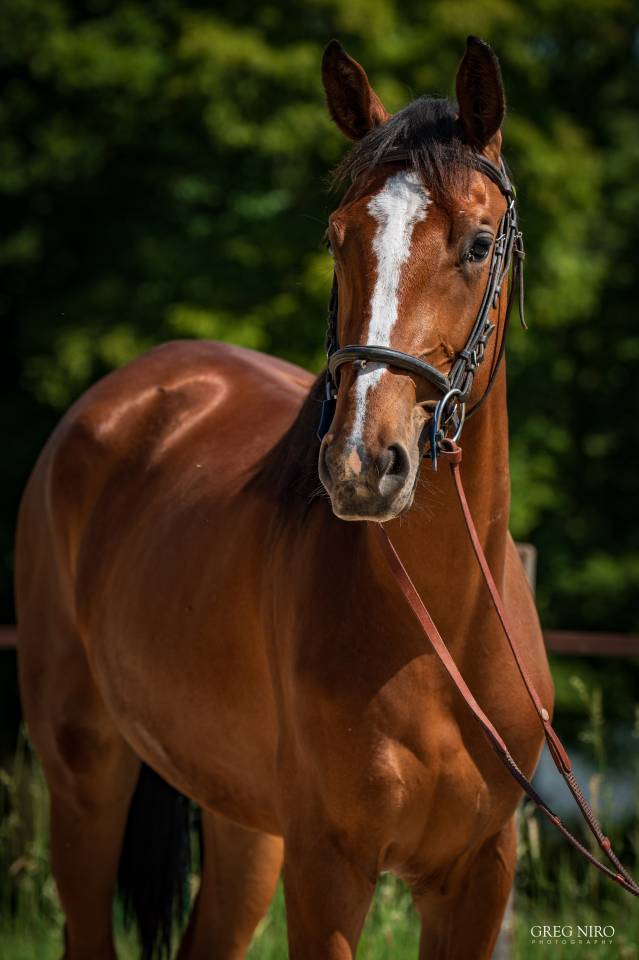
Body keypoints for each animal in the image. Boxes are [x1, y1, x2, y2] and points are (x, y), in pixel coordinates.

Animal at [15, 36, 553, 960]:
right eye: (339, 238)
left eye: (480, 244)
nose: (362, 462)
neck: (439, 635)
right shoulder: (327, 867)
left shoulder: (477, 878)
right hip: (85, 775)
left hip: (244, 828)